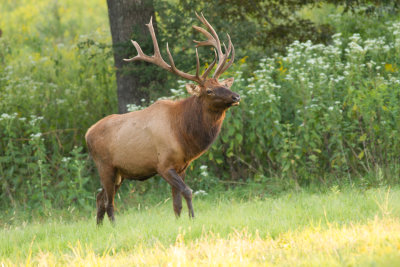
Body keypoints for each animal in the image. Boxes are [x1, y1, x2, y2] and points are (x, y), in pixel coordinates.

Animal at [85, 13, 239, 226]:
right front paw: (193, 218)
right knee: (109, 202)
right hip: (105, 166)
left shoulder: (182, 166)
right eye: (209, 90)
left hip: (119, 173)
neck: (183, 134)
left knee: (100, 197)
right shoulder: (163, 165)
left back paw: (99, 227)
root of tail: (87, 133)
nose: (236, 96)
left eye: (224, 84)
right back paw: (114, 227)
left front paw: (181, 221)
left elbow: (176, 204)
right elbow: (188, 191)